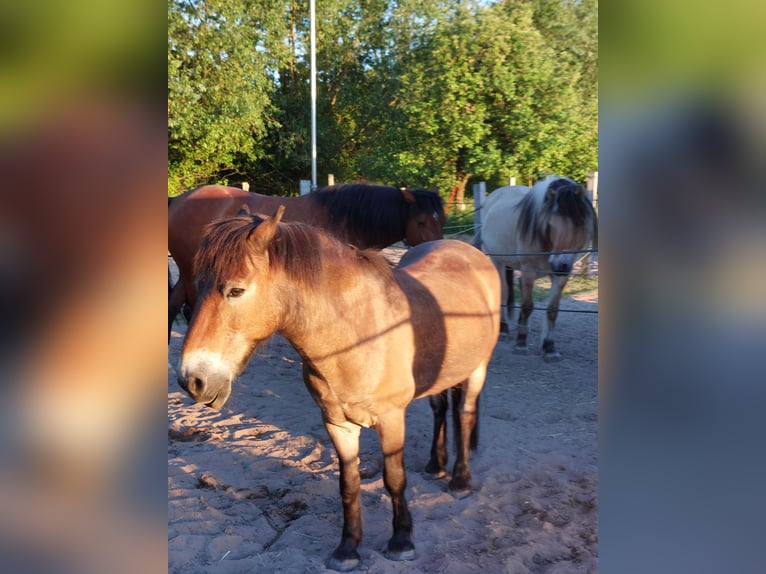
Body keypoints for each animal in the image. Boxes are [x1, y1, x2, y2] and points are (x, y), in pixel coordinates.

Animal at [176, 205, 500, 571]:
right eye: (198, 285)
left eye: (236, 291)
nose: (191, 379)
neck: (356, 333)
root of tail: (468, 251)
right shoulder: (337, 424)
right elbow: (349, 484)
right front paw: (347, 549)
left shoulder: (392, 420)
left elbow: (394, 479)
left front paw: (402, 541)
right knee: (441, 408)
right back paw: (436, 465)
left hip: (477, 369)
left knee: (465, 414)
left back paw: (460, 480)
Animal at [479, 176, 597, 361]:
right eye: (550, 223)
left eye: (579, 224)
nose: (560, 265)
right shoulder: (528, 271)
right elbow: (527, 306)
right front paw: (521, 343)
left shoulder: (561, 276)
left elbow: (552, 310)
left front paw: (549, 347)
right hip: (497, 261)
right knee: (503, 292)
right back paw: (504, 329)